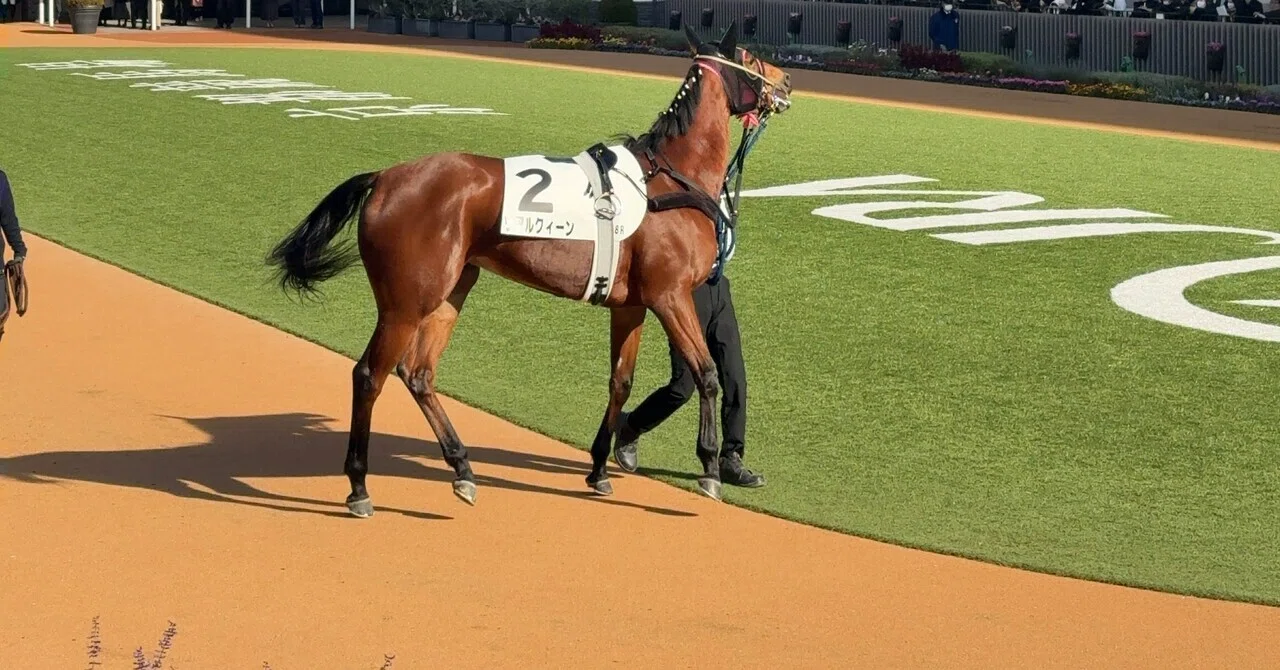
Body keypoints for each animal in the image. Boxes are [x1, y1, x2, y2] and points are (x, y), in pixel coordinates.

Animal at [265, 21, 794, 518]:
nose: (786, 79)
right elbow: (707, 373)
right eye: (748, 55)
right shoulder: (671, 296)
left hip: (452, 290)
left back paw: (462, 468)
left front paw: (599, 468)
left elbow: (620, 382)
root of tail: (382, 178)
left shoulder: (631, 306)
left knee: (418, 373)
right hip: (405, 302)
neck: (666, 181)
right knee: (369, 375)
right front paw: (710, 467)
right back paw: (359, 485)